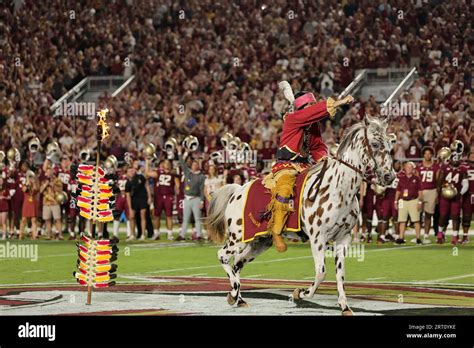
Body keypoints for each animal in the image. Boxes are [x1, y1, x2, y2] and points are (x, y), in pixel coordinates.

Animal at [206, 116, 394, 316]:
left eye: (390, 144)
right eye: (375, 144)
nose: (389, 176)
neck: (339, 190)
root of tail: (237, 191)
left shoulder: (343, 239)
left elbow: (340, 274)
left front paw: (344, 306)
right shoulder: (318, 239)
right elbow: (321, 273)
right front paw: (299, 293)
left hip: (259, 242)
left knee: (237, 264)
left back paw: (238, 298)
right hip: (238, 238)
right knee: (222, 256)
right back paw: (234, 292)